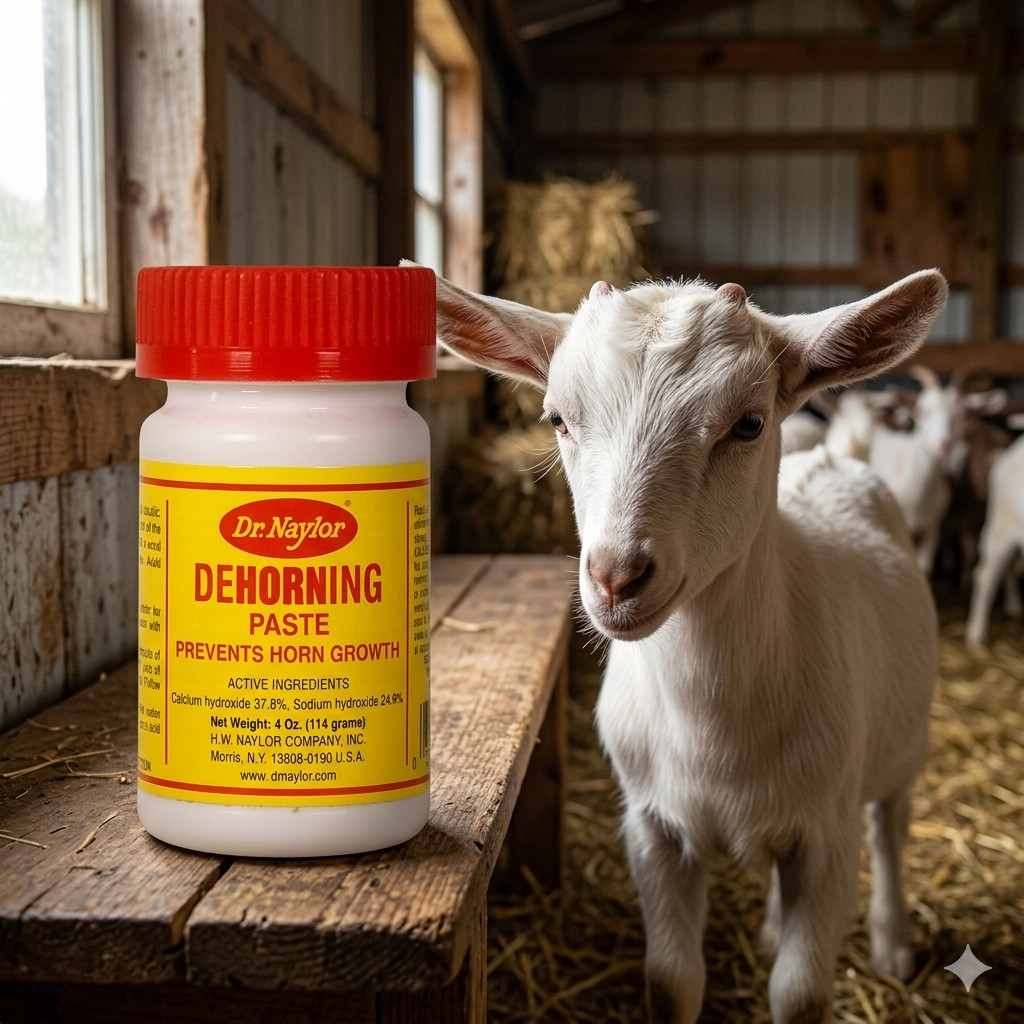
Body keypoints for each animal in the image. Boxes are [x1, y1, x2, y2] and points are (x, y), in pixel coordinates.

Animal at [433, 268, 947, 1024]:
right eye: (557, 419)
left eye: (749, 423)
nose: (616, 576)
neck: (713, 728)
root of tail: (834, 454)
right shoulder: (653, 829)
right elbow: (672, 981)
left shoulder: (826, 838)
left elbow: (802, 994)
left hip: (901, 753)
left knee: (891, 827)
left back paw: (893, 945)